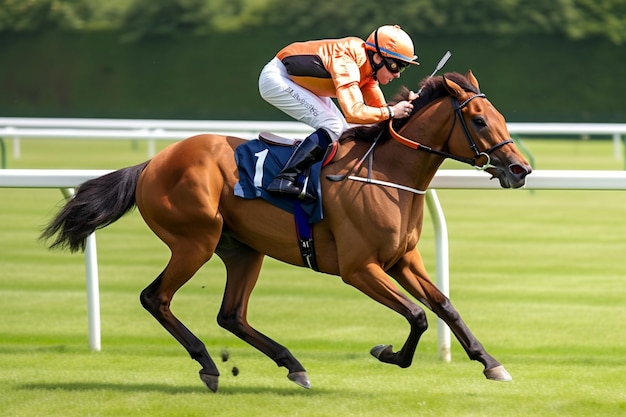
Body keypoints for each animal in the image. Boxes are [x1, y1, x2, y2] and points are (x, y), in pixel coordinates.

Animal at [41, 70, 532, 392]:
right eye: (480, 120)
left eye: (500, 116)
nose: (520, 169)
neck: (385, 173)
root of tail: (152, 162)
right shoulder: (359, 268)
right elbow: (417, 315)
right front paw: (387, 353)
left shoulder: (402, 260)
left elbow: (445, 306)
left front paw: (491, 363)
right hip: (194, 241)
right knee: (155, 298)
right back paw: (209, 365)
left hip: (242, 249)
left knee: (231, 315)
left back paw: (292, 364)